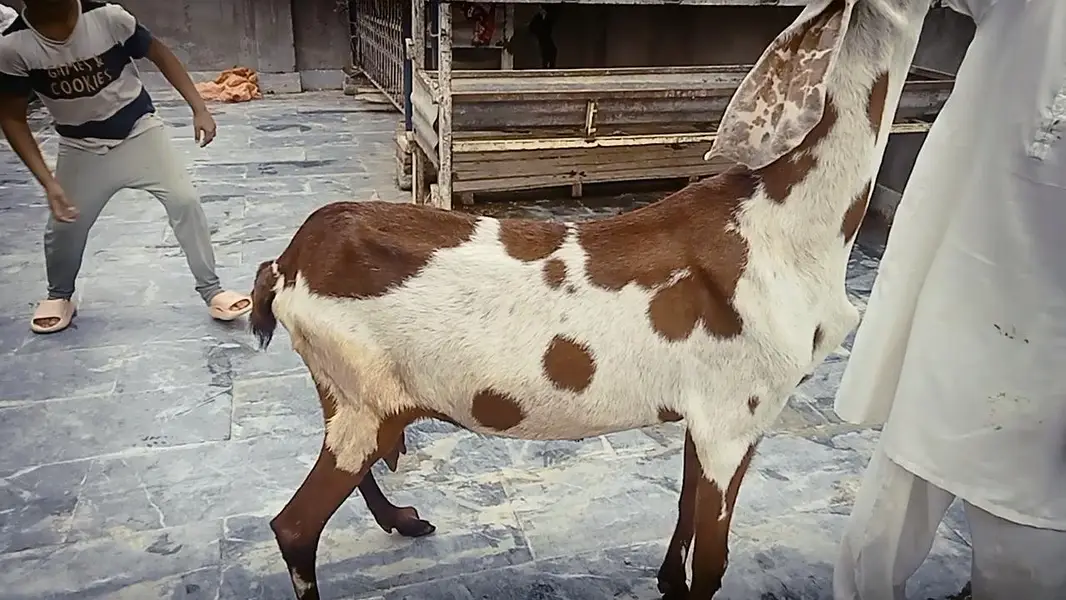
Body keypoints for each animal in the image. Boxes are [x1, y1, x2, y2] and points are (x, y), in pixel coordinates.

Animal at [249, 0, 934, 597]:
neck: (780, 225)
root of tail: (287, 264)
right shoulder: (735, 418)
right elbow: (711, 565)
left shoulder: (707, 414)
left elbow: (682, 515)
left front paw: (664, 581)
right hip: (362, 399)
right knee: (295, 526)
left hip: (353, 396)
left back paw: (404, 520)